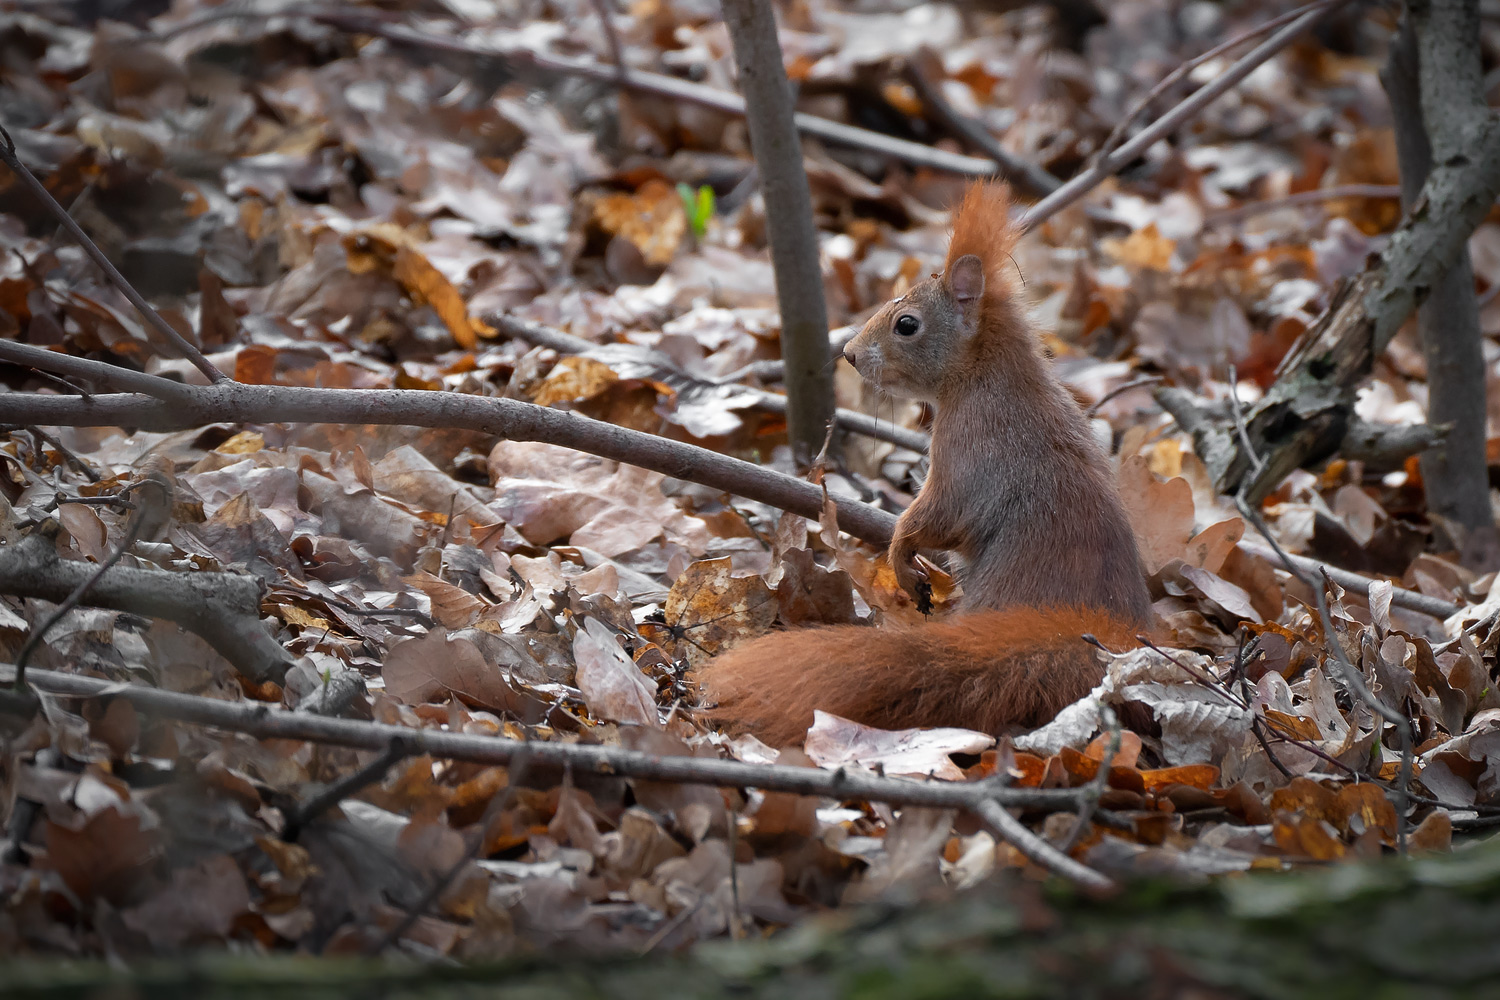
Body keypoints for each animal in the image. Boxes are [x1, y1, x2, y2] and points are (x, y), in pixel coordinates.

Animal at [693, 183, 1146, 746]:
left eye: (906, 325)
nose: (849, 353)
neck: (985, 376)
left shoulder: (968, 452)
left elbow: (933, 517)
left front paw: (901, 557)